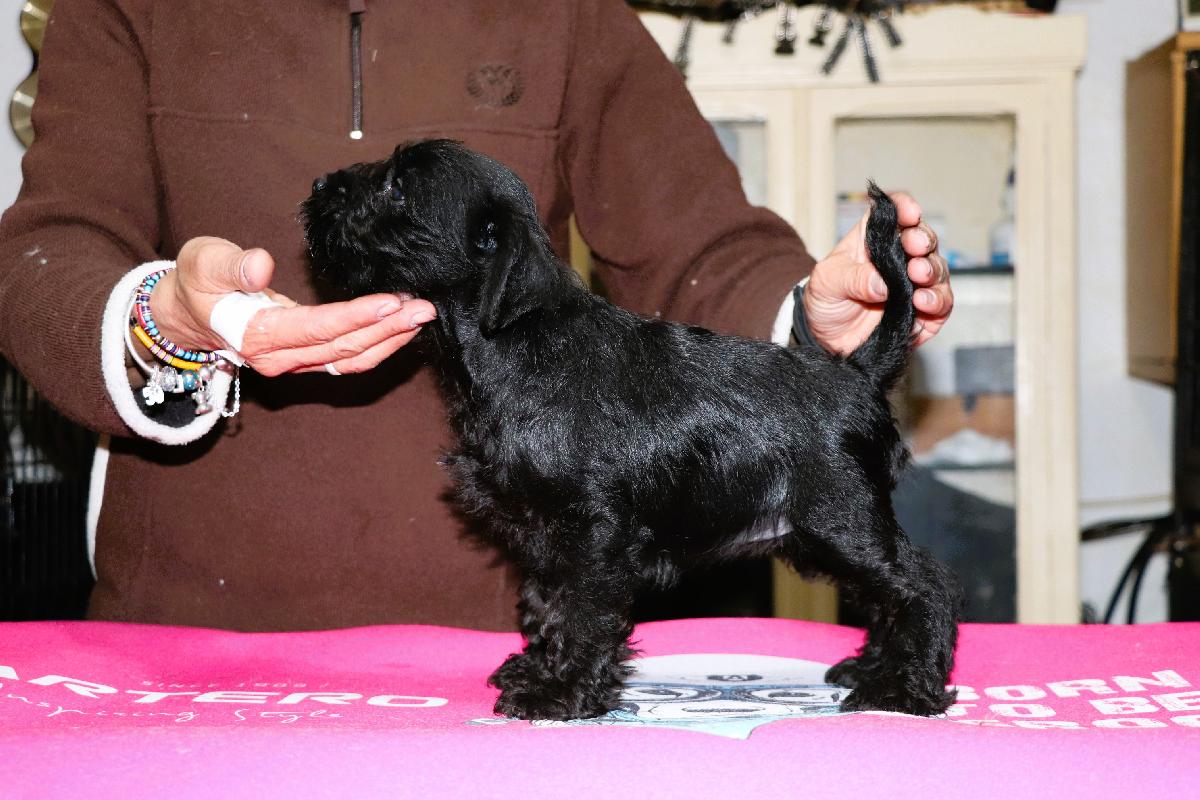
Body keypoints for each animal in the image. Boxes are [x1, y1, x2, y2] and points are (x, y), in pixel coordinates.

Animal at [302, 139, 960, 721]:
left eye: (396, 186)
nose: (318, 185)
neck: (516, 338)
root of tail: (856, 370)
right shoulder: (544, 536)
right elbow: (545, 603)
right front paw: (537, 669)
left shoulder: (592, 531)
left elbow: (583, 611)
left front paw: (560, 695)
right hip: (817, 535)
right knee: (887, 598)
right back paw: (874, 668)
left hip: (842, 520)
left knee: (923, 588)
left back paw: (906, 689)